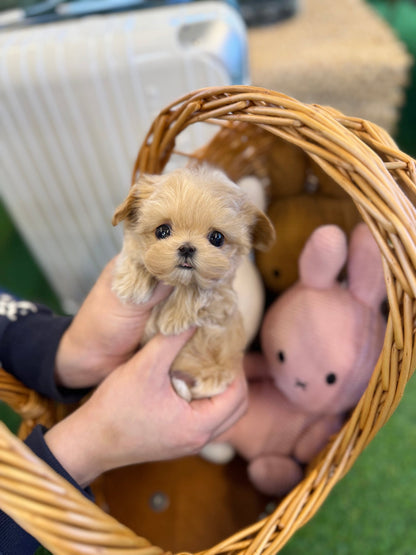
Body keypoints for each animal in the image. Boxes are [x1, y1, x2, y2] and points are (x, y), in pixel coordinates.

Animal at [112, 165, 274, 400]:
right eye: (162, 231)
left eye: (217, 238)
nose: (187, 247)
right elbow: (135, 254)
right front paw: (131, 283)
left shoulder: (223, 297)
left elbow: (203, 290)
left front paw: (174, 317)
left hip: (218, 374)